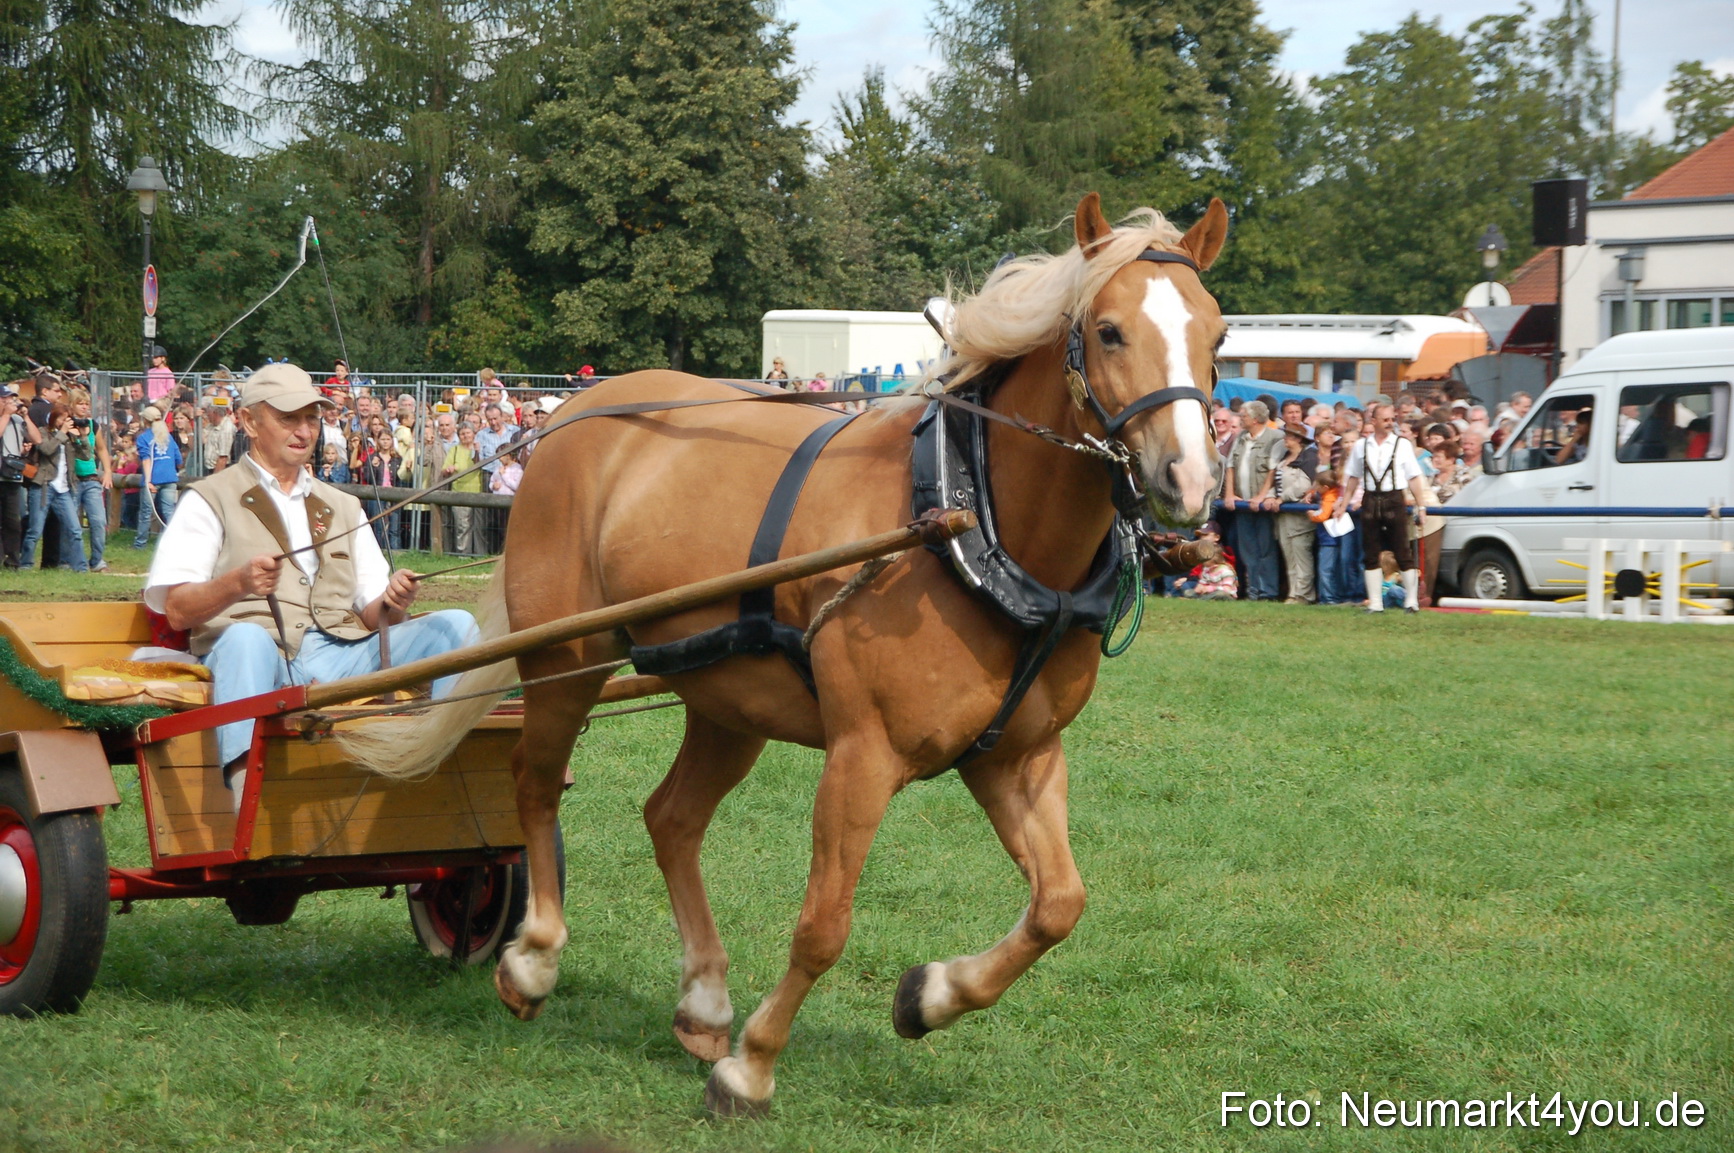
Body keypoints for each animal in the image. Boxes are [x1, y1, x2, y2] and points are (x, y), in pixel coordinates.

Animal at [346, 192, 1228, 1116]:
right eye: (1109, 330)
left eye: (1217, 335)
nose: (1190, 481)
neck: (971, 520)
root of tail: (566, 419)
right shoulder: (863, 755)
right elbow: (824, 925)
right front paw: (754, 1063)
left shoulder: (1014, 756)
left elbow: (1060, 903)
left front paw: (929, 995)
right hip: (565, 655)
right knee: (536, 781)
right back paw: (533, 957)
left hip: (727, 697)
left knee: (671, 817)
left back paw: (703, 1000)